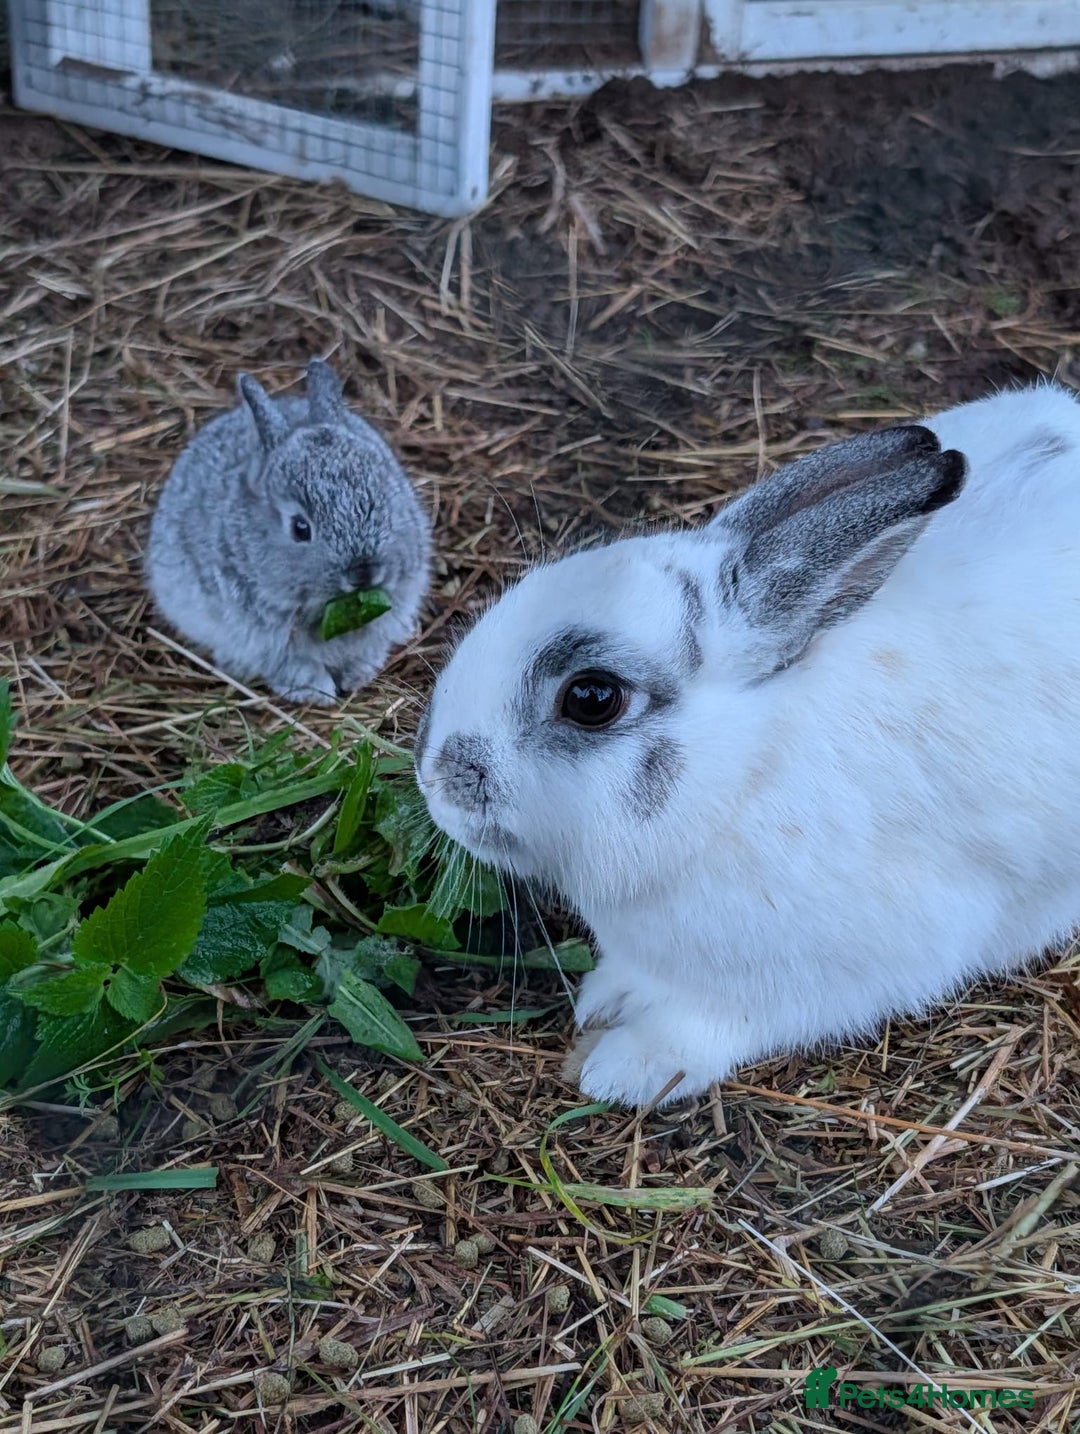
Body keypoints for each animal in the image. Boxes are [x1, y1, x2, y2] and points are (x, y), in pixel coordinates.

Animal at [146, 358, 431, 706]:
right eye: (300, 528)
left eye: (383, 501)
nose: (363, 573)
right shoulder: (265, 636)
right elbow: (295, 666)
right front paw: (321, 693)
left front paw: (356, 677)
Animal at [414, 382, 1080, 1107]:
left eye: (592, 698)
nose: (435, 777)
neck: (741, 774)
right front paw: (602, 1001)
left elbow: (708, 1027)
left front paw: (625, 1070)